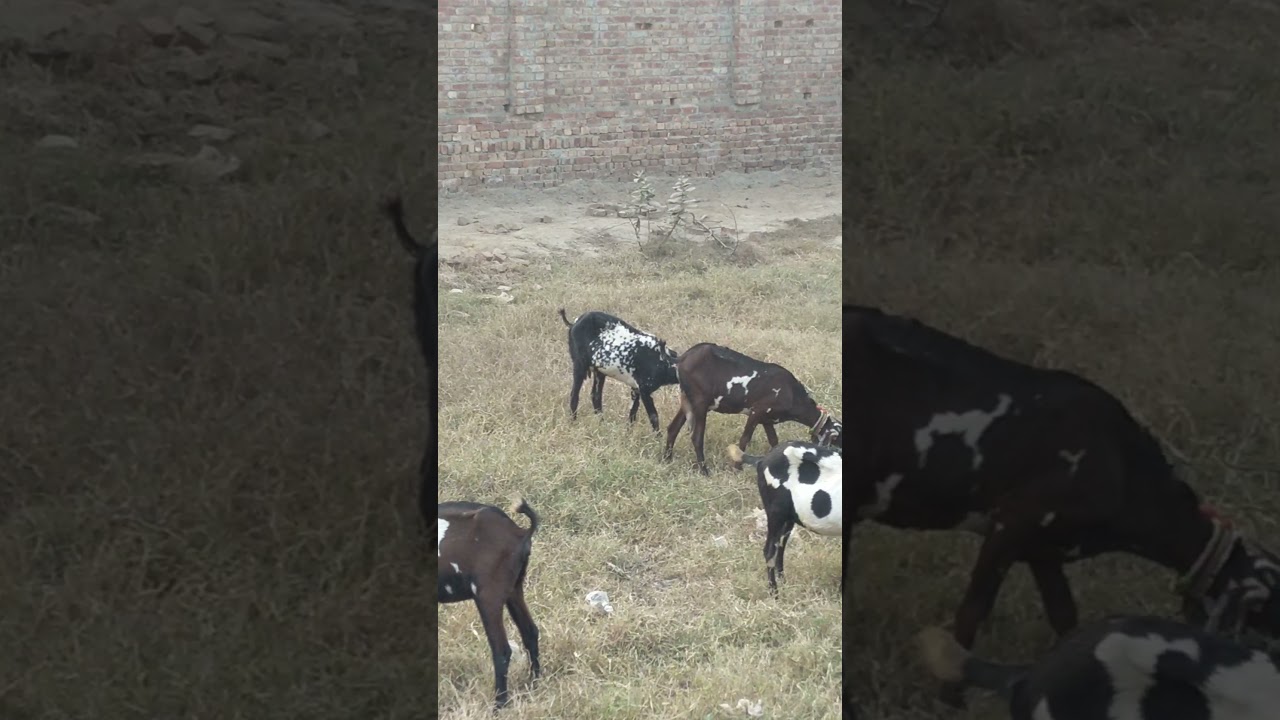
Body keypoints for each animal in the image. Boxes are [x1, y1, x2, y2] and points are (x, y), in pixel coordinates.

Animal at [438, 499, 542, 710]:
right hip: (513, 589)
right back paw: (534, 682)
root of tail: (518, 532)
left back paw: (499, 704)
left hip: (489, 595)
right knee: (529, 631)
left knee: (502, 650)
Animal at [664, 343, 842, 474]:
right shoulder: (757, 412)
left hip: (688, 401)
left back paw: (666, 459)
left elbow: (774, 441)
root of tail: (682, 359)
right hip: (700, 402)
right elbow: (745, 439)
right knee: (696, 437)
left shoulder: (767, 419)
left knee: (673, 428)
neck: (791, 393)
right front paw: (737, 468)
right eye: (837, 441)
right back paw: (704, 471)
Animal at [728, 442, 843, 594]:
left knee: (781, 546)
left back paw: (783, 582)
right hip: (775, 513)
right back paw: (774, 592)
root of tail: (763, 460)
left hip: (788, 517)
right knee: (770, 551)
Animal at [843, 303, 1280, 707]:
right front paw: (950, 697)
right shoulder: (1013, 521)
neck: (1121, 463)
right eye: (1266, 622)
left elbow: (1065, 615)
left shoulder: (1044, 546)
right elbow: (974, 609)